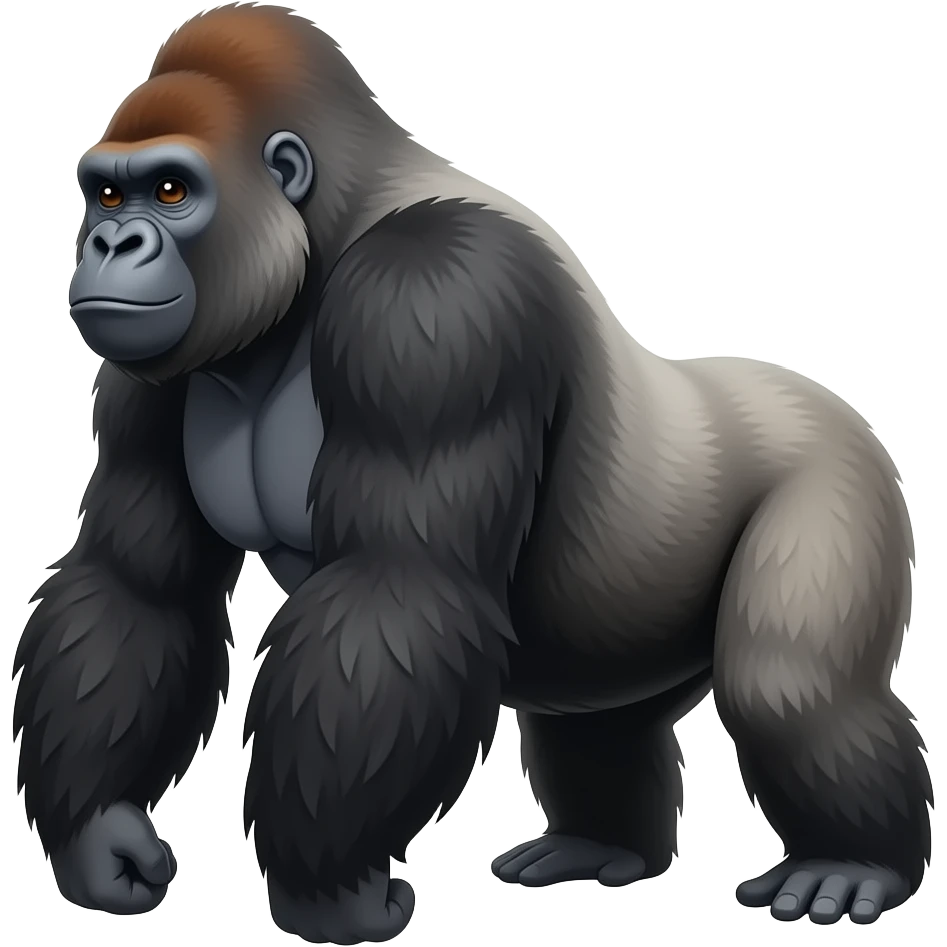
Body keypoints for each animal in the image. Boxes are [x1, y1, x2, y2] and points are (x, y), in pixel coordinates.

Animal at [13, 2, 930, 942]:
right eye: (105, 192)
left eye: (171, 191)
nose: (110, 241)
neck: (328, 226)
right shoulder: (146, 373)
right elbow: (137, 585)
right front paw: (100, 837)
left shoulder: (435, 297)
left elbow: (397, 588)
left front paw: (327, 891)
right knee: (602, 721)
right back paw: (600, 846)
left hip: (839, 469)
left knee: (789, 688)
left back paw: (851, 863)